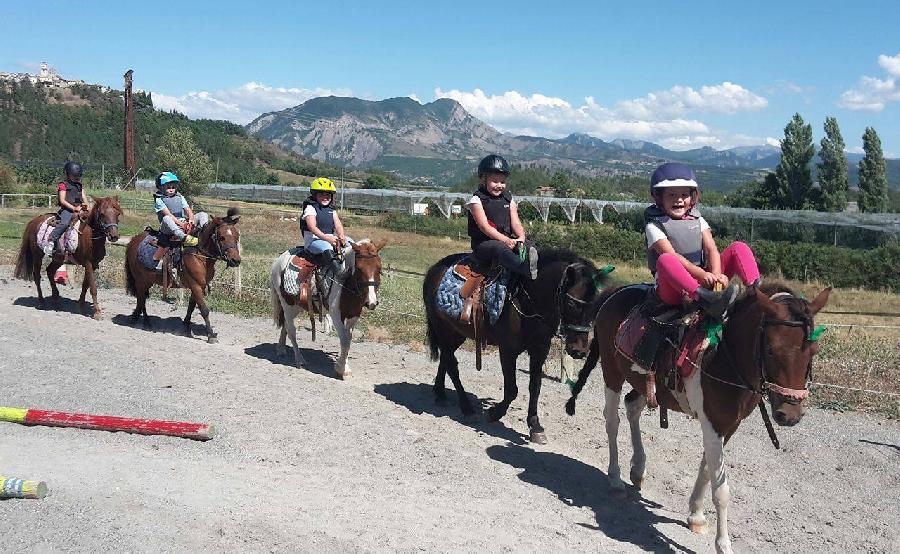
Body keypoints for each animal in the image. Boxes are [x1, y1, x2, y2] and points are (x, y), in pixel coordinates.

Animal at [125, 206, 243, 340]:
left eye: (237, 236)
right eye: (222, 237)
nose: (235, 260)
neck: (199, 255)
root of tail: (133, 240)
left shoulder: (199, 286)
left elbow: (191, 307)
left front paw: (186, 326)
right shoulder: (196, 286)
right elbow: (204, 309)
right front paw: (211, 335)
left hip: (147, 280)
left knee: (142, 299)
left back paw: (141, 319)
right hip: (140, 280)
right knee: (141, 299)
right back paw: (144, 321)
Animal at [272, 237, 388, 376]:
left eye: (379, 268)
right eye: (359, 269)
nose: (371, 302)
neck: (345, 282)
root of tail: (279, 260)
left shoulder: (354, 315)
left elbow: (348, 339)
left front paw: (344, 365)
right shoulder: (336, 314)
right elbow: (344, 339)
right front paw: (342, 369)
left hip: (297, 306)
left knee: (285, 325)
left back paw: (281, 349)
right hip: (287, 304)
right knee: (291, 330)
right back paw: (299, 359)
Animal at [424, 250, 612, 444]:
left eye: (596, 304)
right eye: (571, 303)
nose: (579, 350)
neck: (528, 302)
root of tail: (434, 269)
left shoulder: (539, 351)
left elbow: (535, 387)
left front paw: (535, 425)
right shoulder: (508, 350)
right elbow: (512, 390)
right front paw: (495, 413)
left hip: (456, 333)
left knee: (445, 360)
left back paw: (440, 393)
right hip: (442, 329)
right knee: (452, 365)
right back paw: (466, 408)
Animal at [568, 282, 832, 548]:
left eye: (814, 350)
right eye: (770, 349)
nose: (790, 414)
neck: (724, 357)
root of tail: (617, 291)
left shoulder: (728, 425)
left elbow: (707, 469)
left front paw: (696, 515)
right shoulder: (713, 423)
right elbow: (721, 489)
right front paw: (723, 543)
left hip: (645, 383)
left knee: (632, 408)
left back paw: (638, 469)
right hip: (612, 371)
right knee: (612, 421)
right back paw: (615, 479)